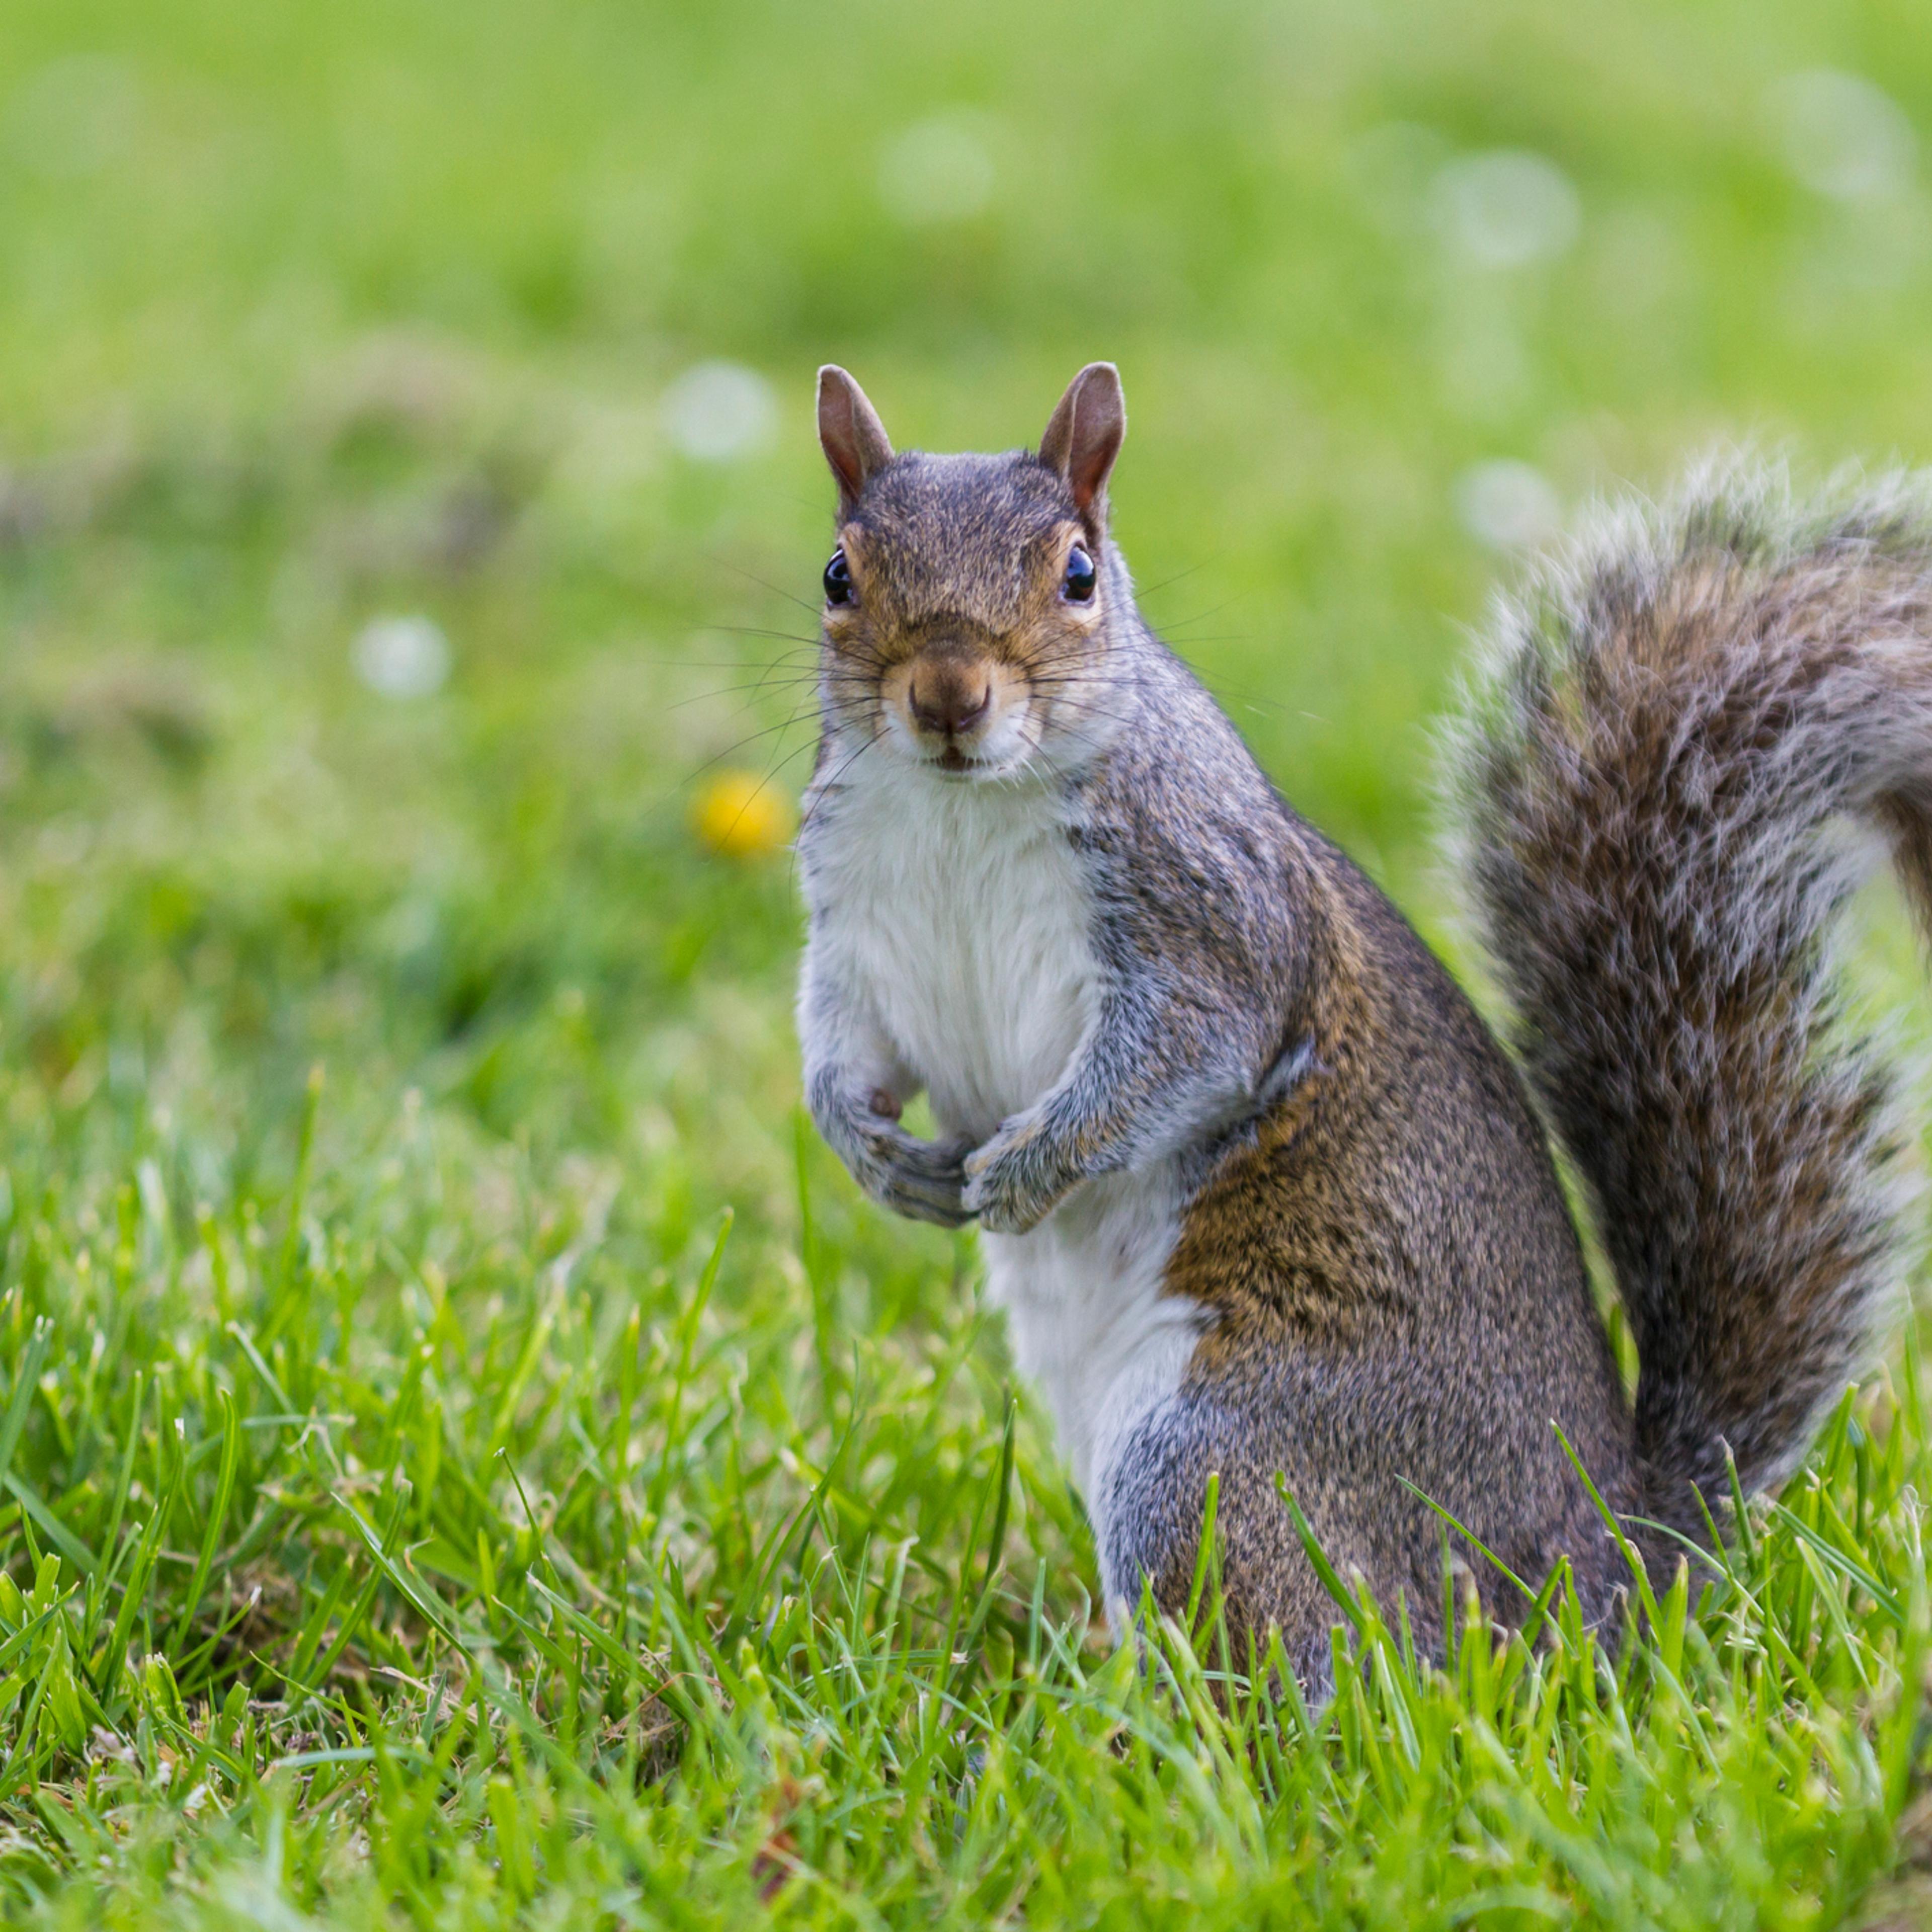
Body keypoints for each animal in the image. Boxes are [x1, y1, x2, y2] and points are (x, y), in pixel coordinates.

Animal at [795, 360, 1917, 1685]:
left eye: (1077, 574)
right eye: (838, 574)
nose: (947, 696)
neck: (960, 805)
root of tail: (1602, 1573)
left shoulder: (1213, 918)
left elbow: (1179, 1056)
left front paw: (1029, 1166)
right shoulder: (854, 936)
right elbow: (840, 1047)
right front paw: (877, 1157)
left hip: (1216, 1455)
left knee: (1324, 1669)